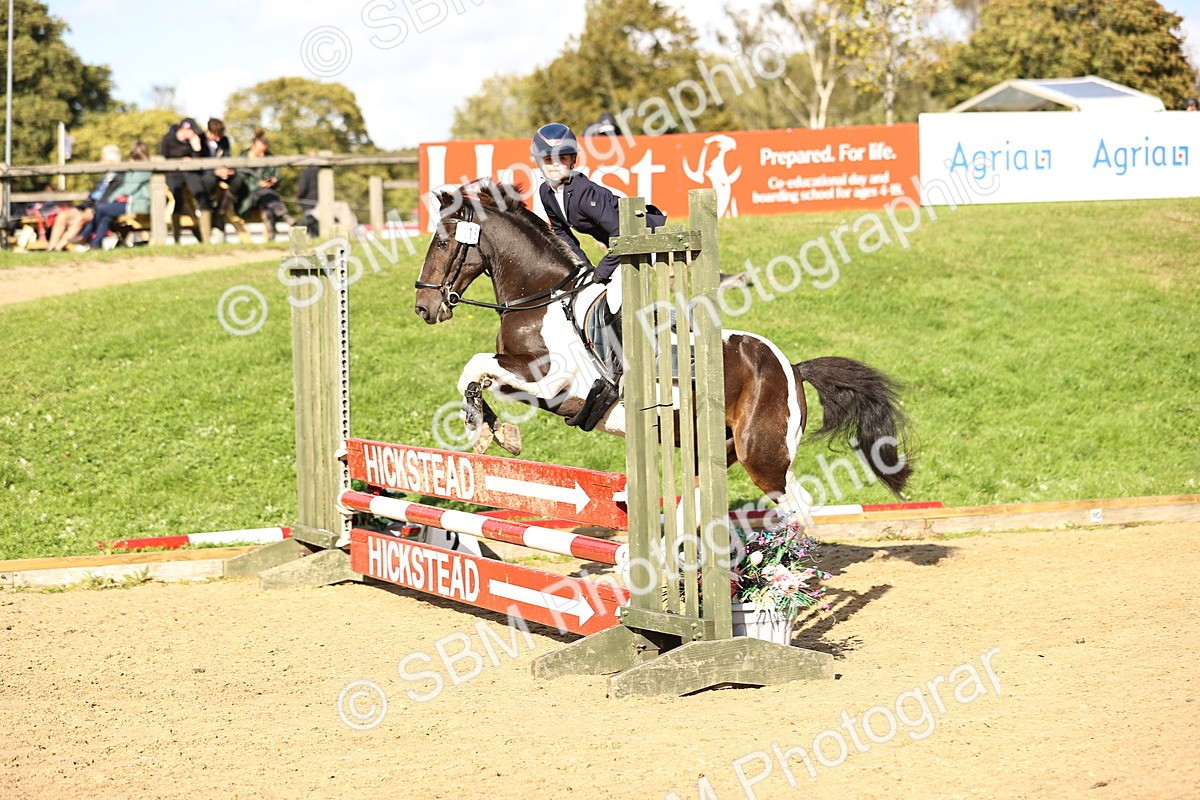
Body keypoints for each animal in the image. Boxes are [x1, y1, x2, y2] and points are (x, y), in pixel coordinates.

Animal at [414, 181, 912, 517]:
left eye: (443, 242)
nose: (423, 307)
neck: (541, 299)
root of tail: (791, 365)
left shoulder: (554, 382)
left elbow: (474, 366)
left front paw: (481, 430)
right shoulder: (529, 383)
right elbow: (479, 376)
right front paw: (496, 431)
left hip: (764, 456)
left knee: (797, 507)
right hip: (717, 450)